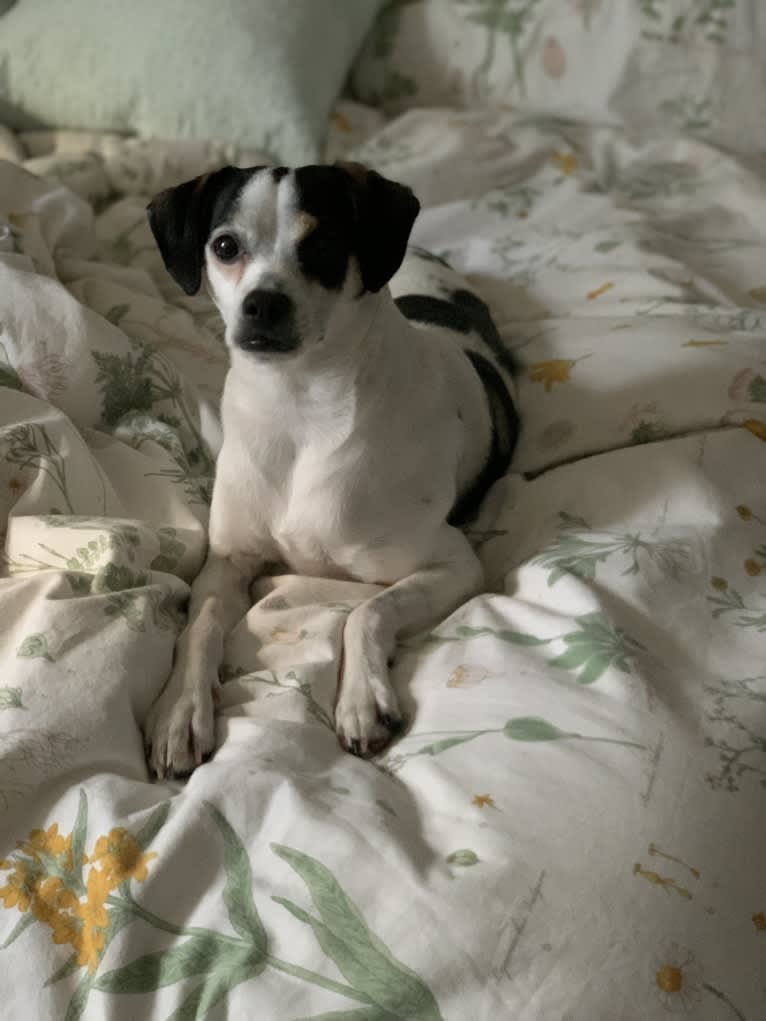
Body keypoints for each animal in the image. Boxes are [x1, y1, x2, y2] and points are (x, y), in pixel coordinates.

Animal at [144, 163, 518, 775]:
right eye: (225, 246)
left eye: (322, 246)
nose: (263, 304)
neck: (299, 407)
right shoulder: (228, 562)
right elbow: (199, 627)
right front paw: (180, 708)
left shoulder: (455, 565)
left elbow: (366, 610)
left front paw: (362, 699)